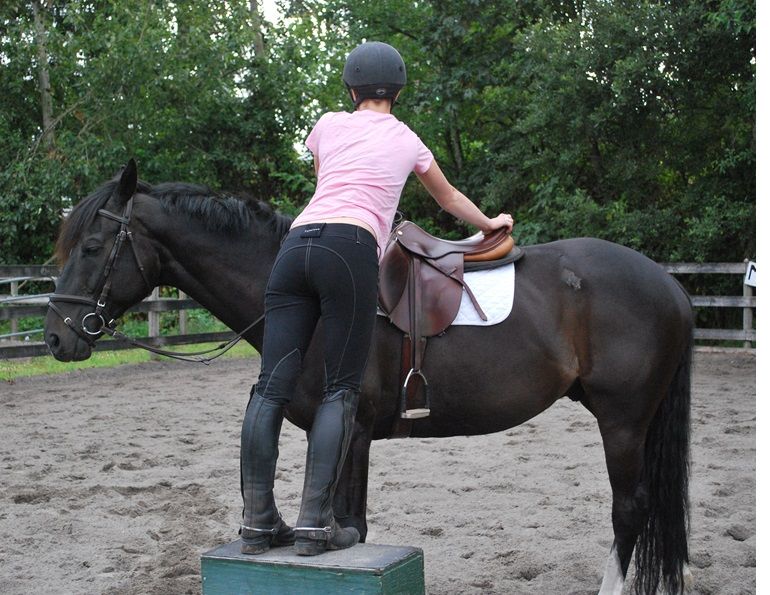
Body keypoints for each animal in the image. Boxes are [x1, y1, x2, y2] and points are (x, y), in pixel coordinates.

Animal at [45, 160, 693, 594]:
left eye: (94, 245)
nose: (55, 336)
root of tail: (669, 284)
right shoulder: (345, 436)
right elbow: (348, 521)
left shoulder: (349, 427)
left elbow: (346, 523)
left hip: (623, 420)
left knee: (630, 508)